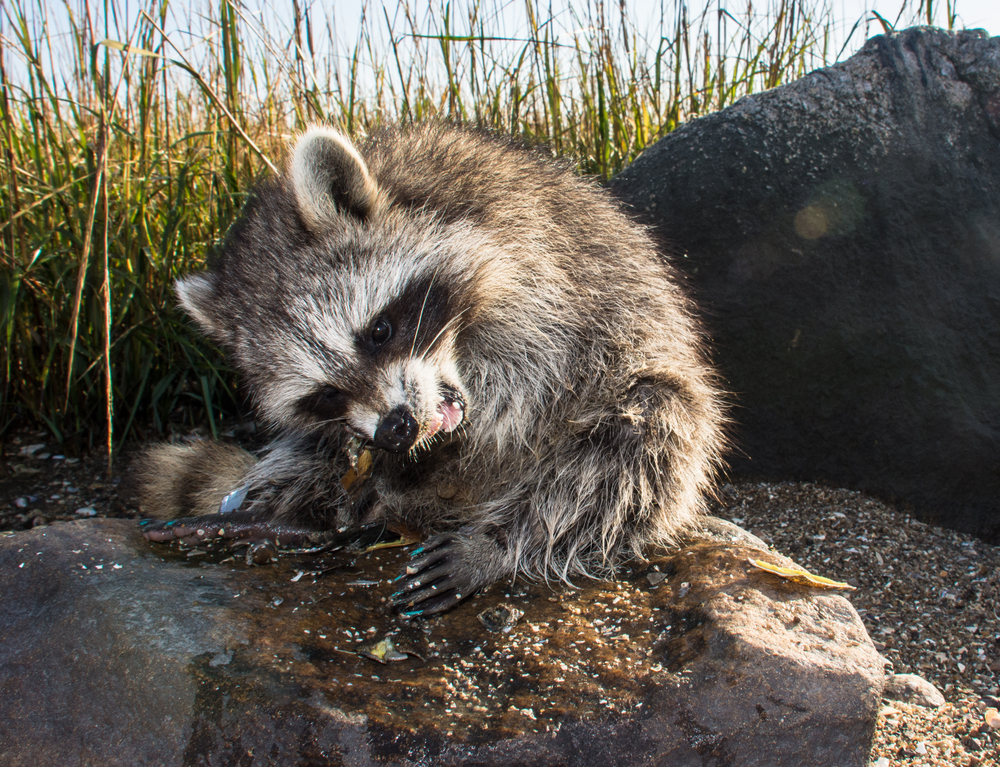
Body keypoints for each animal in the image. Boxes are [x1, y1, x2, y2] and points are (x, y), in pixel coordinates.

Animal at [137, 126, 724, 616]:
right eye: (324, 396)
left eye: (379, 331)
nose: (396, 430)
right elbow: (326, 441)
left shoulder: (546, 270)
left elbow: (539, 376)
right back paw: (301, 516)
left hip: (649, 404)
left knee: (638, 442)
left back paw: (501, 541)